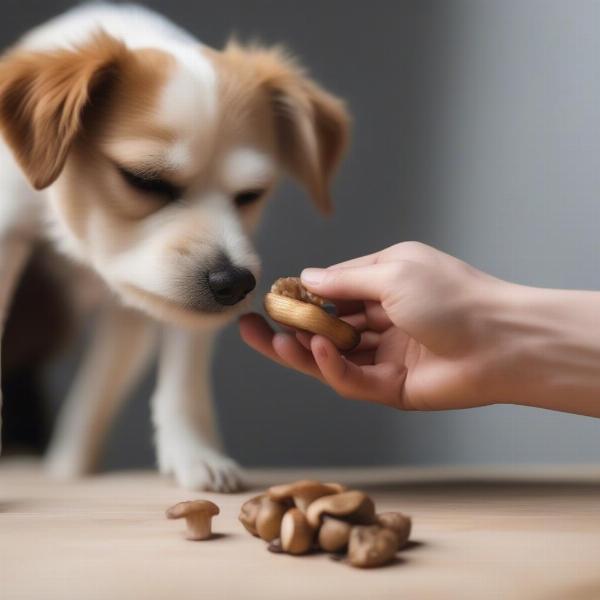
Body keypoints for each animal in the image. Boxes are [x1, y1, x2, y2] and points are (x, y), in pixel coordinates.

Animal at [0, 2, 350, 490]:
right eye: (144, 181)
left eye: (251, 195)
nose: (233, 283)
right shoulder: (8, 232)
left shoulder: (141, 317)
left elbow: (169, 380)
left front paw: (193, 453)